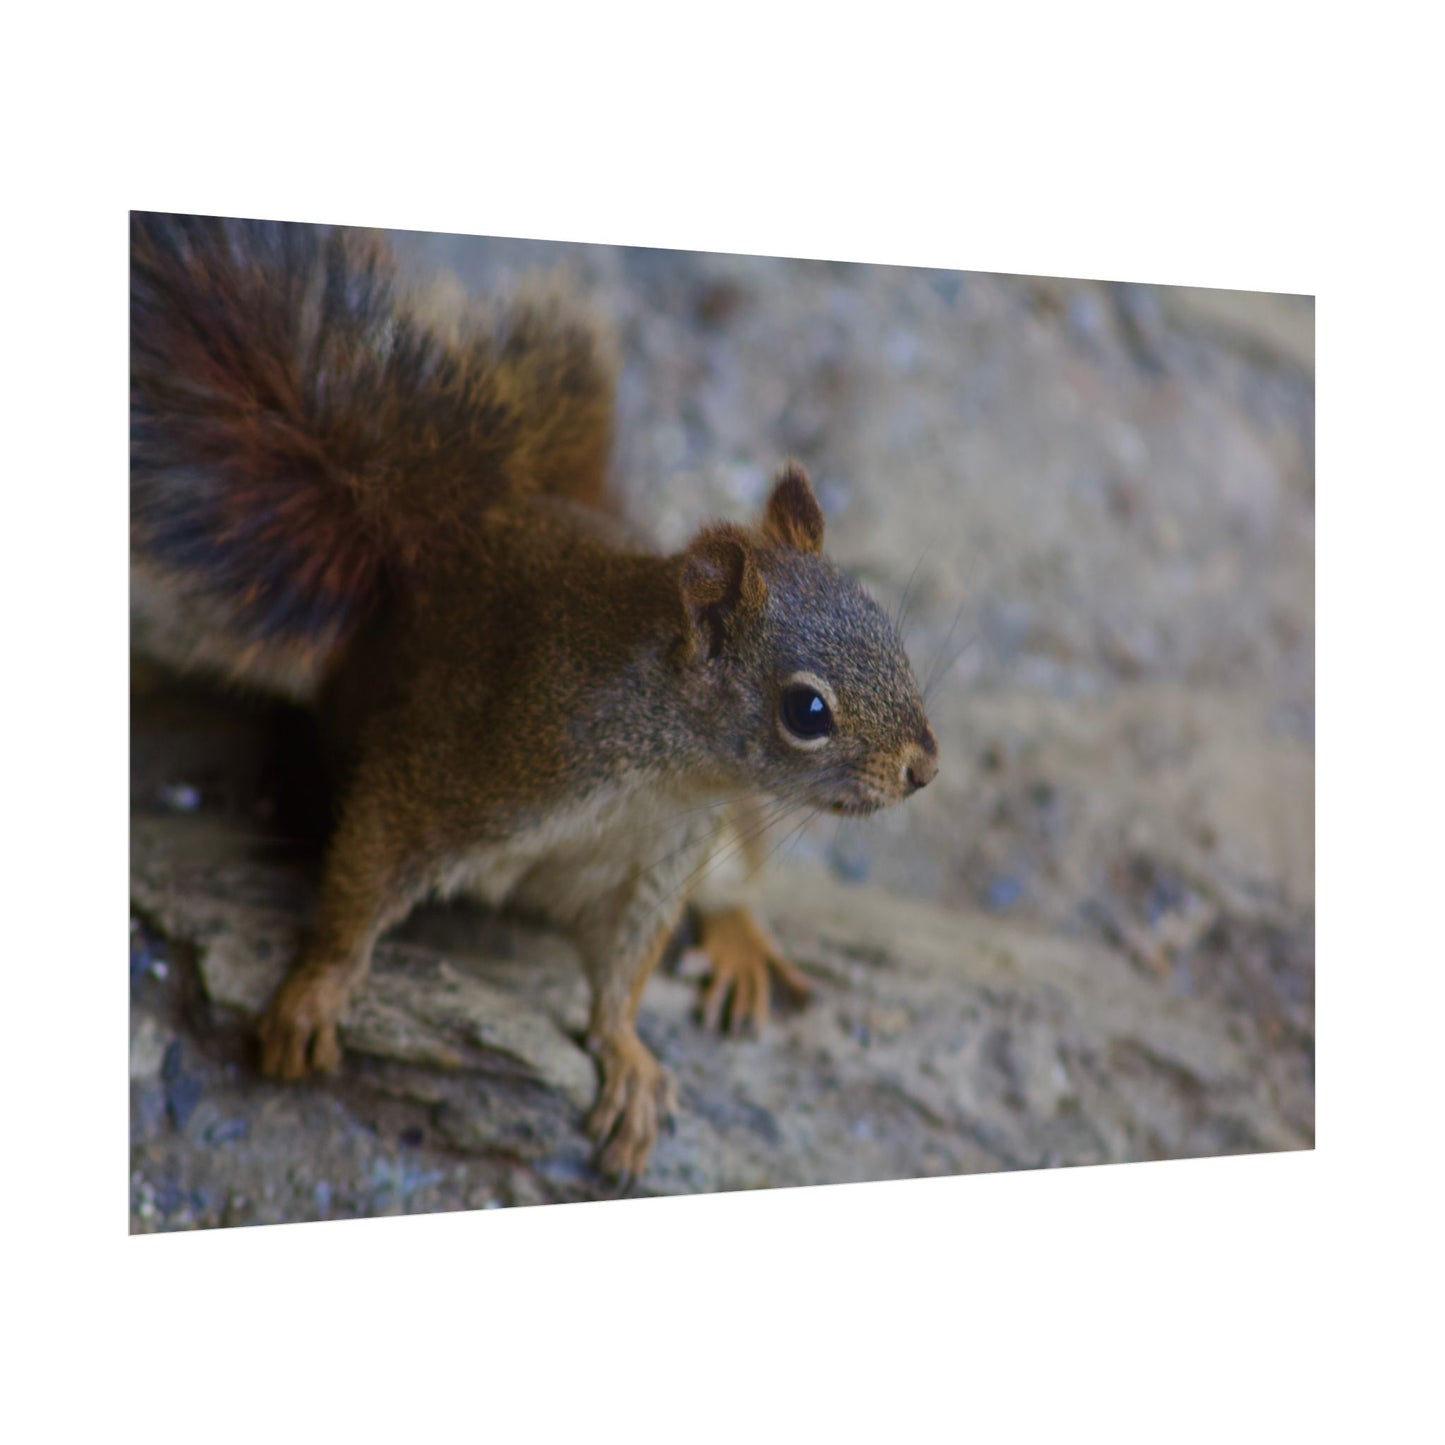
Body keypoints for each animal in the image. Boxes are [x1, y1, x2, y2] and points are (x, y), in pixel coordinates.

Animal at [130, 212, 940, 1181]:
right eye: (806, 711)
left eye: (882, 623)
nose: (924, 768)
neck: (666, 766)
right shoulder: (474, 761)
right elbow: (367, 874)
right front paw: (314, 992)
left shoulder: (662, 859)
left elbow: (626, 966)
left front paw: (626, 1054)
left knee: (734, 883)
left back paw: (739, 942)